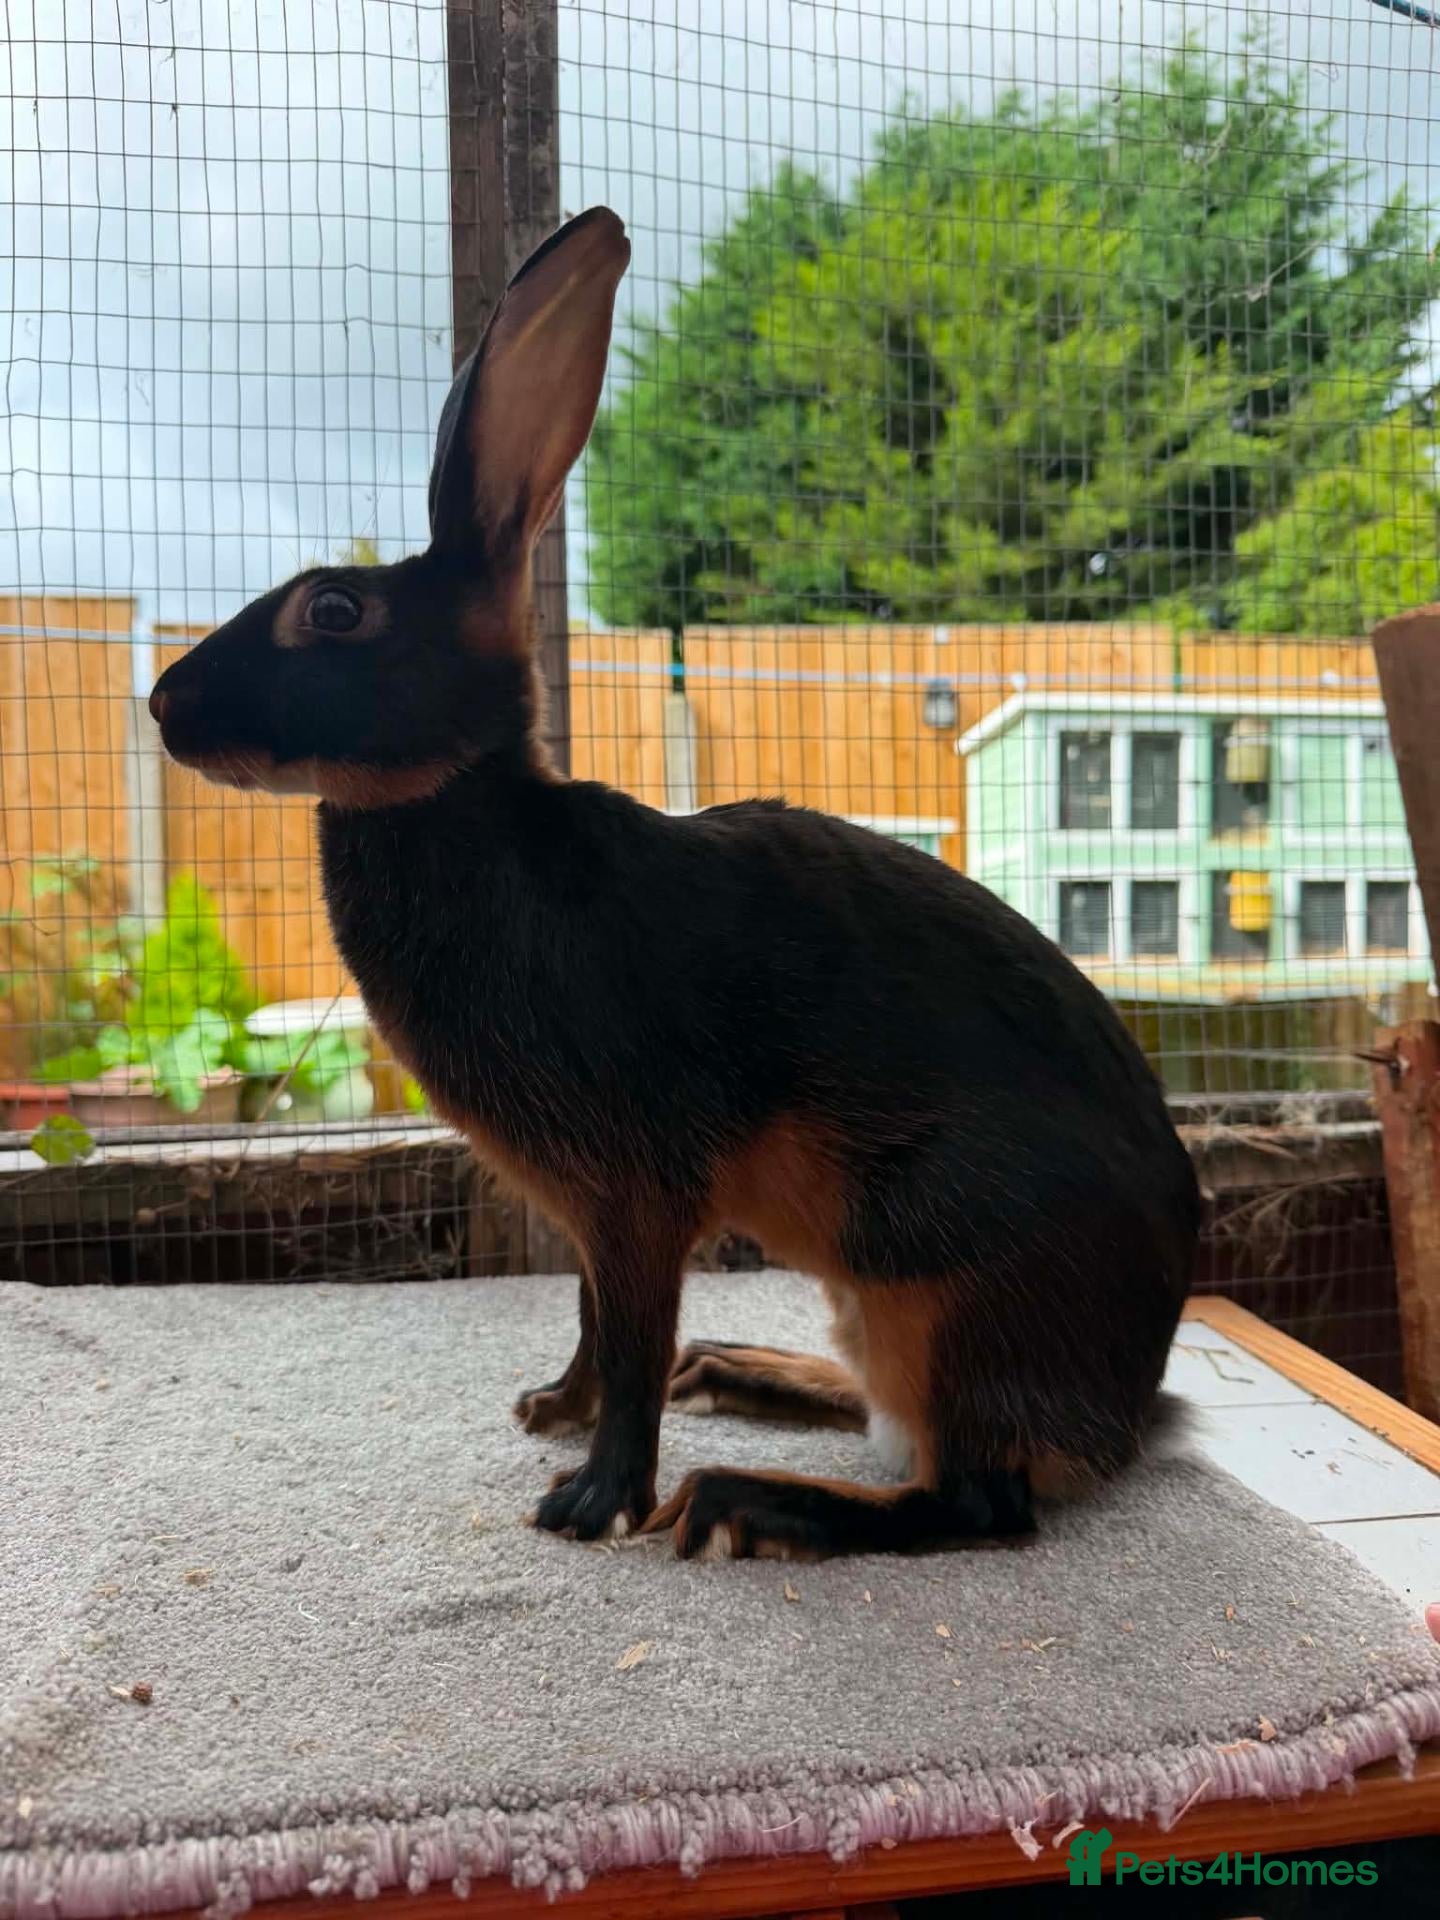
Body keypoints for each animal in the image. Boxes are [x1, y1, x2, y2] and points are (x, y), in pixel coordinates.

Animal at [149, 207, 1200, 1560]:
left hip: (940, 1275)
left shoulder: (640, 1195)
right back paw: (747, 1374)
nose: (162, 705)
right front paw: (549, 1410)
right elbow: (599, 1329)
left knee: (971, 1502)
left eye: (333, 611)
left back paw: (745, 1497)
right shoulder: (593, 1221)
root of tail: (1126, 1409)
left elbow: (635, 1342)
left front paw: (591, 1503)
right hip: (875, 1298)